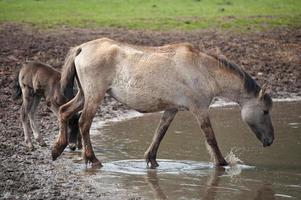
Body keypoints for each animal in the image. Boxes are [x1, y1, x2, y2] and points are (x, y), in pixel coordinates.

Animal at [52, 38, 274, 168]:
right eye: (265, 111)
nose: (270, 140)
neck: (203, 69)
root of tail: (82, 47)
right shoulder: (199, 109)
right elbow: (210, 137)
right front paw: (222, 163)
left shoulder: (171, 110)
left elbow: (159, 133)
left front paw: (151, 159)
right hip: (94, 96)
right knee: (84, 123)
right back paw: (92, 159)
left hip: (83, 95)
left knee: (64, 112)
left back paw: (58, 149)